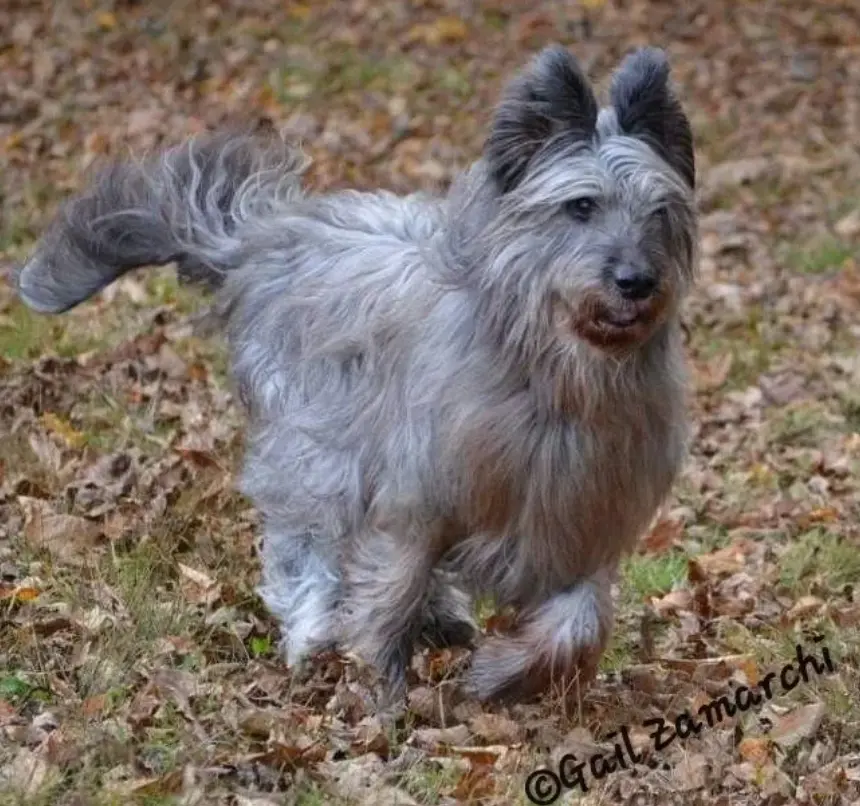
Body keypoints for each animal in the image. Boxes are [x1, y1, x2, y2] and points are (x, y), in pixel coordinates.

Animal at [15, 44, 700, 704]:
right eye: (581, 206)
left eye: (659, 213)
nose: (637, 282)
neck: (556, 379)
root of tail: (270, 234)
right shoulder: (415, 495)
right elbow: (392, 585)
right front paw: (384, 690)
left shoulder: (580, 520)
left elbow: (580, 620)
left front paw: (502, 676)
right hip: (317, 443)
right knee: (308, 540)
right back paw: (315, 627)